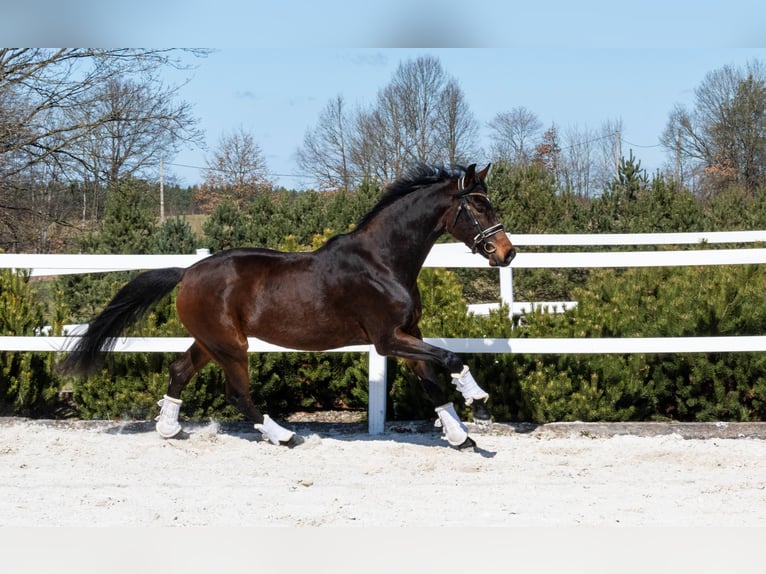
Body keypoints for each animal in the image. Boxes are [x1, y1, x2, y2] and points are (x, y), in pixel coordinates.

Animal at [59, 163, 516, 450]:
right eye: (478, 205)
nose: (506, 253)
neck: (382, 261)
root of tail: (187, 272)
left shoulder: (409, 334)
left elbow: (433, 384)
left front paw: (461, 437)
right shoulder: (388, 339)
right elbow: (452, 358)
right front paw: (480, 403)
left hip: (210, 342)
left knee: (179, 371)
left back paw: (169, 430)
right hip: (231, 346)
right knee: (237, 394)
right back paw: (282, 435)